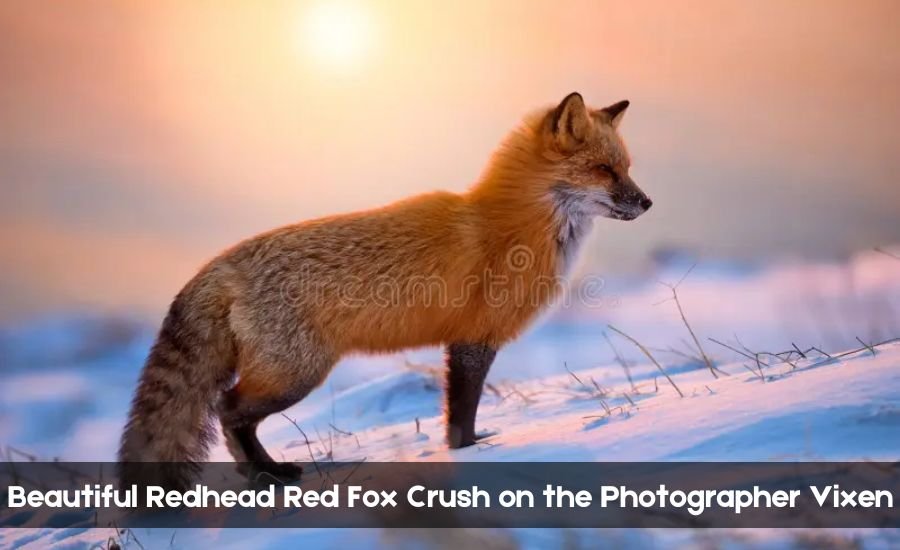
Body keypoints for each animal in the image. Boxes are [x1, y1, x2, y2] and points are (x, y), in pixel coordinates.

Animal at [121, 92, 652, 490]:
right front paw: (471, 454)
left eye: (627, 168)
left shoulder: (466, 339)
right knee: (227, 409)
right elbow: (461, 413)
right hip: (295, 374)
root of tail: (217, 264)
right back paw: (265, 474)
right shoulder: (473, 339)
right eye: (605, 170)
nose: (647, 202)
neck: (512, 230)